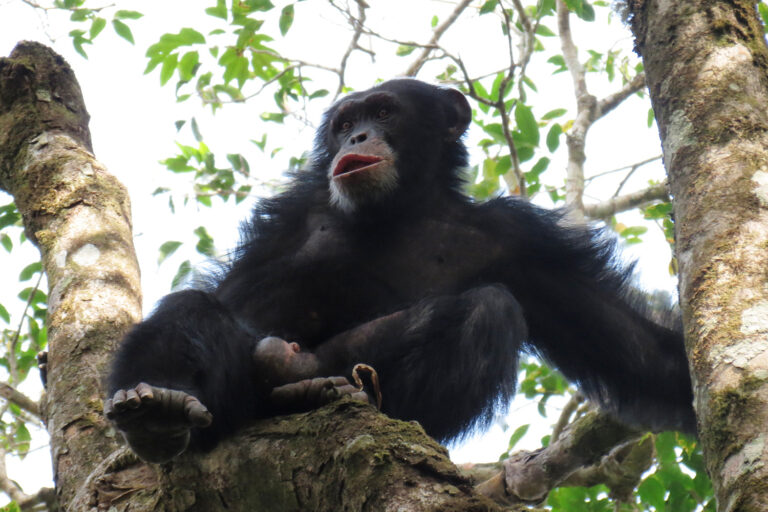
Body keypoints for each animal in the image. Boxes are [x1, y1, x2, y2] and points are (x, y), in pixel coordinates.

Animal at [103, 77, 696, 464]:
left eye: (384, 113)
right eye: (345, 122)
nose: (356, 137)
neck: (401, 209)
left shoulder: (523, 242)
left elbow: (640, 350)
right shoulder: (295, 213)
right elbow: (239, 301)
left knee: (488, 310)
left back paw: (309, 383)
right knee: (197, 312)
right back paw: (160, 410)